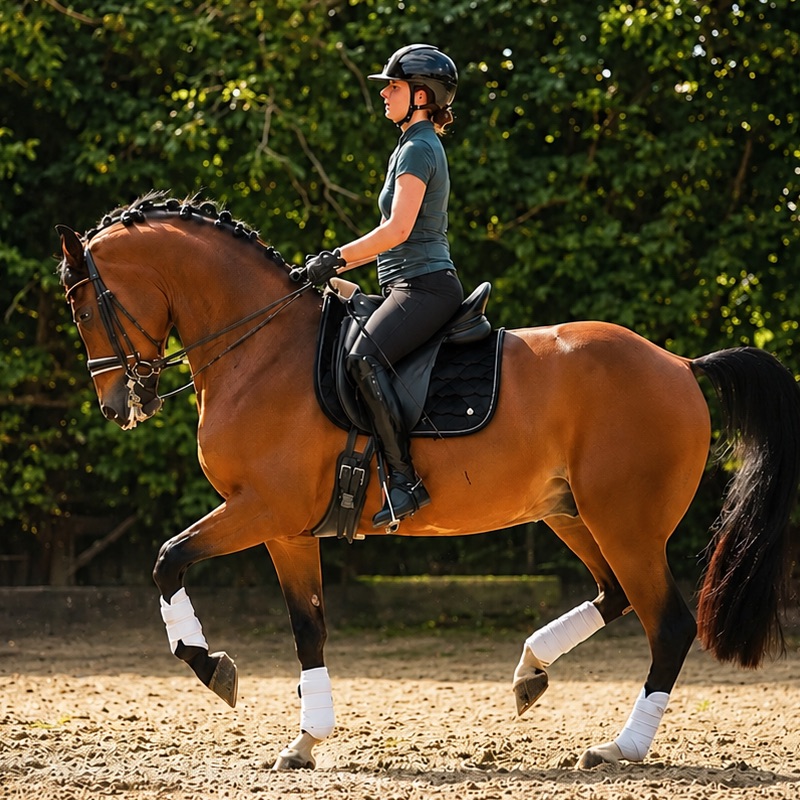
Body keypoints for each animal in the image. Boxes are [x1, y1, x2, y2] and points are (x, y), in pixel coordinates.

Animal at [56, 194, 800, 771]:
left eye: (87, 308)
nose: (117, 405)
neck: (262, 350)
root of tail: (679, 363)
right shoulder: (288, 528)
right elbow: (308, 626)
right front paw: (305, 741)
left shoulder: (261, 508)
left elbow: (167, 559)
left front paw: (212, 668)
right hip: (570, 514)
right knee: (613, 595)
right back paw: (530, 672)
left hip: (625, 523)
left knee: (668, 625)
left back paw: (621, 748)